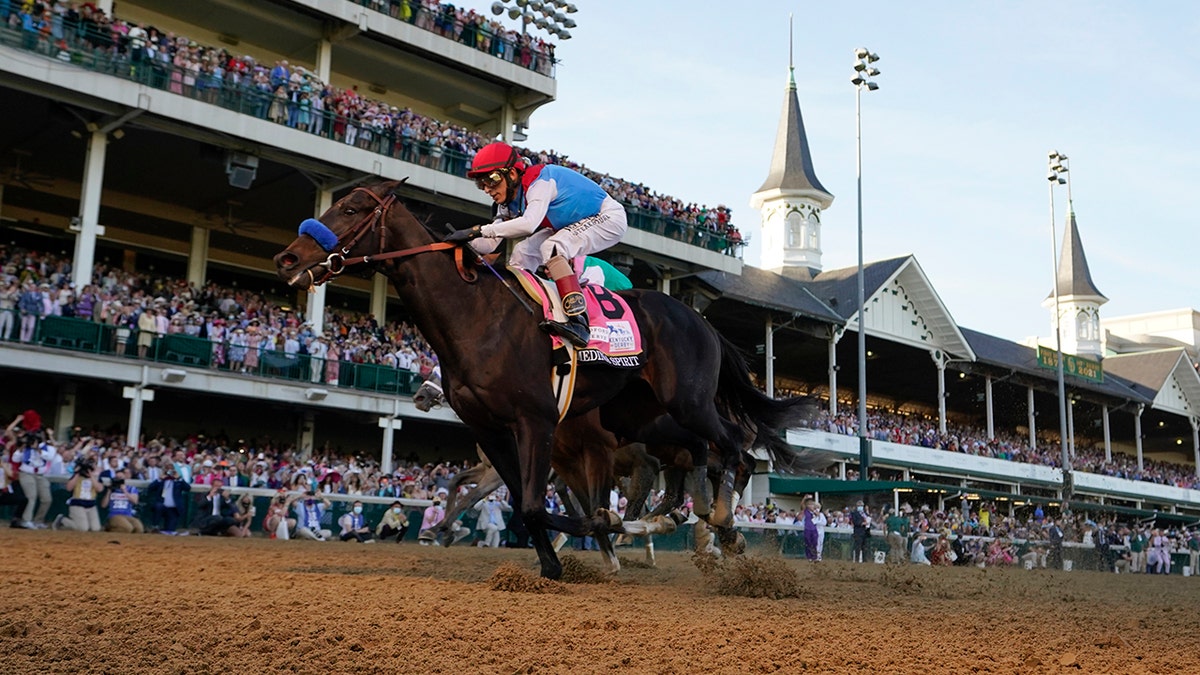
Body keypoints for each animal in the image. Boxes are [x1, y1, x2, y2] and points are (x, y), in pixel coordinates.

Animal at [276, 182, 811, 578]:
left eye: (350, 208)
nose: (288, 259)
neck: (477, 317)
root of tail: (702, 322)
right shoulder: (495, 431)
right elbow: (519, 501)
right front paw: (554, 560)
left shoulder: (537, 423)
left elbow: (538, 506)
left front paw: (595, 532)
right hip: (638, 416)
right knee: (700, 457)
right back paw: (698, 522)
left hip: (688, 401)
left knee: (737, 447)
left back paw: (723, 524)